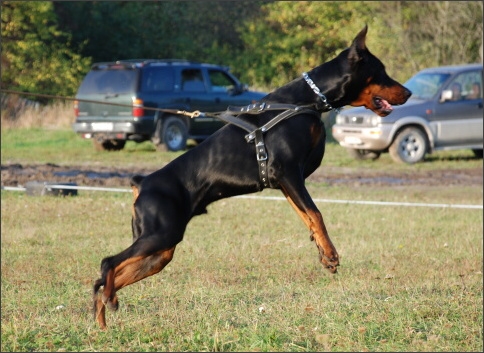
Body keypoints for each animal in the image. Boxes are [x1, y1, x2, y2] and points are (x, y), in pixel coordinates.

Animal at [92, 26, 410, 328]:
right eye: (381, 71)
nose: (408, 93)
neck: (308, 100)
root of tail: (141, 183)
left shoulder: (286, 182)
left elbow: (307, 216)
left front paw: (322, 253)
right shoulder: (288, 172)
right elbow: (316, 213)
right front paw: (331, 254)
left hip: (160, 251)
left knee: (101, 281)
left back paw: (103, 320)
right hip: (161, 233)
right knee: (107, 263)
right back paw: (110, 301)